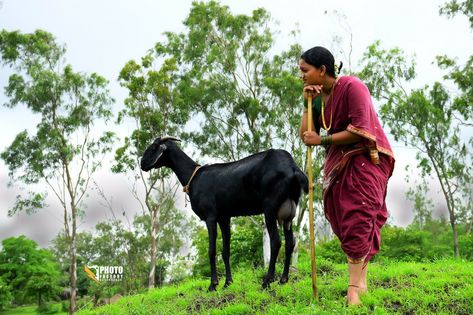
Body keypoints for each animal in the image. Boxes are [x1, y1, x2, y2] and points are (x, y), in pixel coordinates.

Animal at [140, 136, 308, 292]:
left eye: (154, 147)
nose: (142, 164)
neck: (193, 177)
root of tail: (292, 168)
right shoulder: (224, 218)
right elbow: (225, 251)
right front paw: (228, 283)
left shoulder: (210, 216)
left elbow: (212, 250)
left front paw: (213, 285)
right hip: (289, 211)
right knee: (290, 242)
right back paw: (283, 280)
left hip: (270, 207)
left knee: (276, 241)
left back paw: (267, 281)